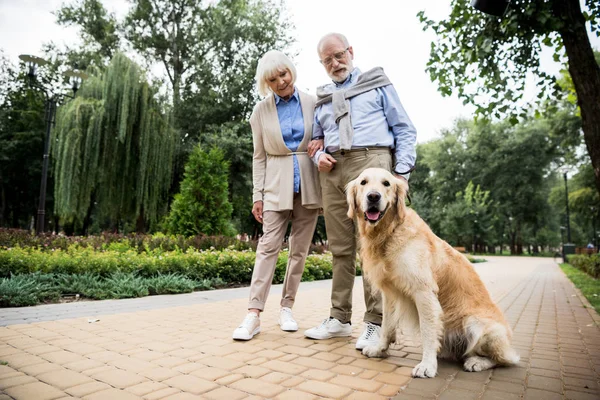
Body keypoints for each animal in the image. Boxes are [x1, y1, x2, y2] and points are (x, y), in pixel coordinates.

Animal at [346, 168, 520, 378]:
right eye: (363, 182)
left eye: (386, 183)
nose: (373, 196)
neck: (389, 232)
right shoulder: (389, 293)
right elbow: (387, 325)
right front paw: (380, 349)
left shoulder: (424, 292)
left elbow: (427, 330)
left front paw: (427, 365)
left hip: (476, 324)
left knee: (505, 360)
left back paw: (476, 362)